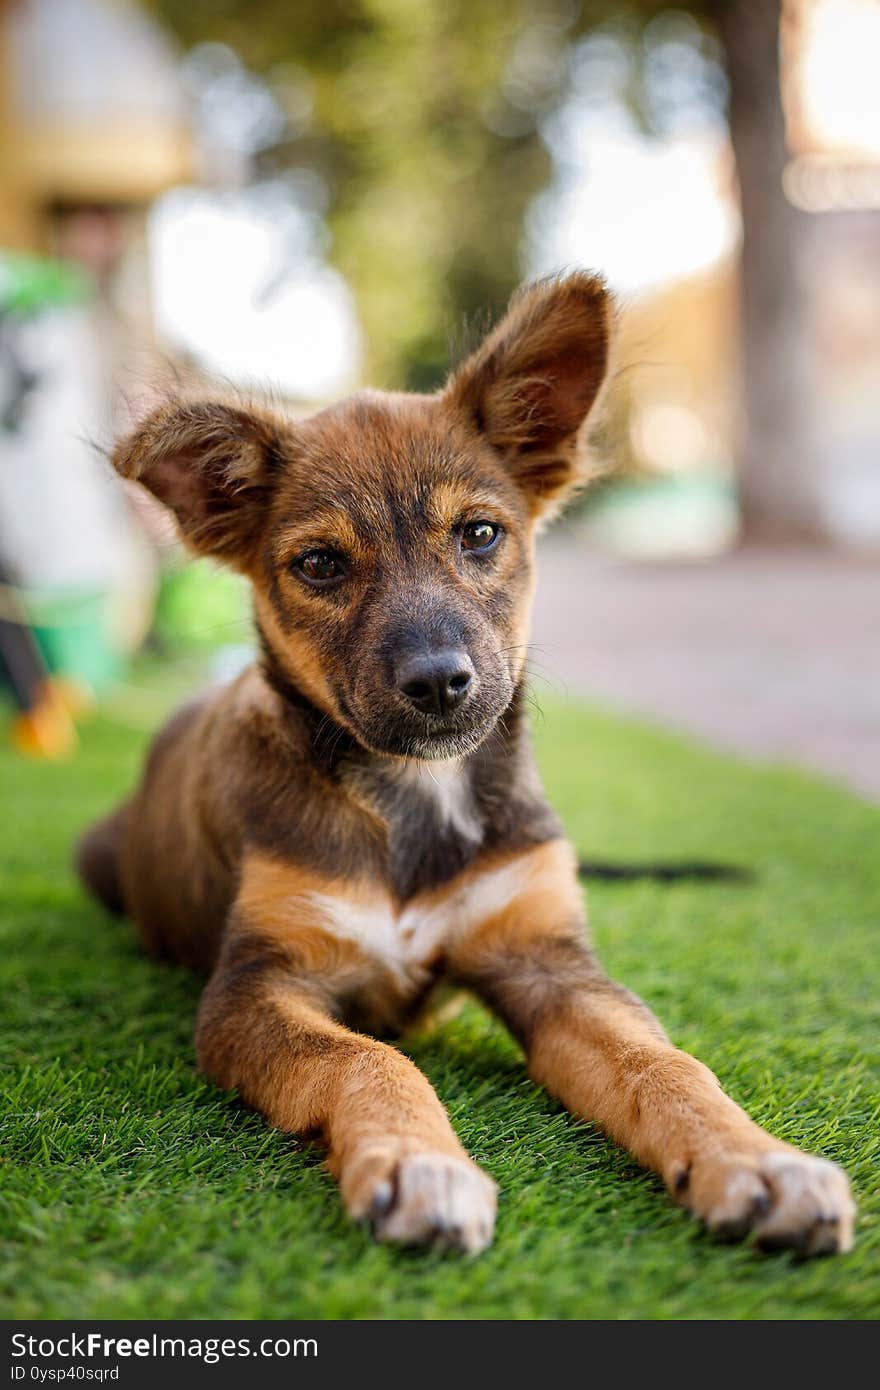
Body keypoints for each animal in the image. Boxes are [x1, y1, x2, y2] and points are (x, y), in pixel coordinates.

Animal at [77, 273, 850, 1262]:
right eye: (319, 564)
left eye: (479, 533)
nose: (441, 683)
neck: (419, 796)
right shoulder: (257, 985)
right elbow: (367, 1055)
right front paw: (420, 1165)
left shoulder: (546, 961)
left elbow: (666, 1063)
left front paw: (759, 1162)